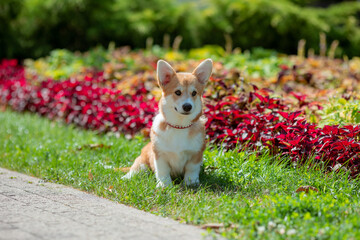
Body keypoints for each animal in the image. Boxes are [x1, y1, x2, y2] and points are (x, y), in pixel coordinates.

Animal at [122, 58, 212, 188]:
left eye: (194, 93)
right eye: (178, 92)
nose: (187, 106)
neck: (179, 126)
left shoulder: (196, 154)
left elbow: (192, 169)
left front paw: (191, 183)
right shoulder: (160, 155)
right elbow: (163, 171)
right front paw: (164, 185)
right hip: (141, 163)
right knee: (135, 170)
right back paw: (126, 177)